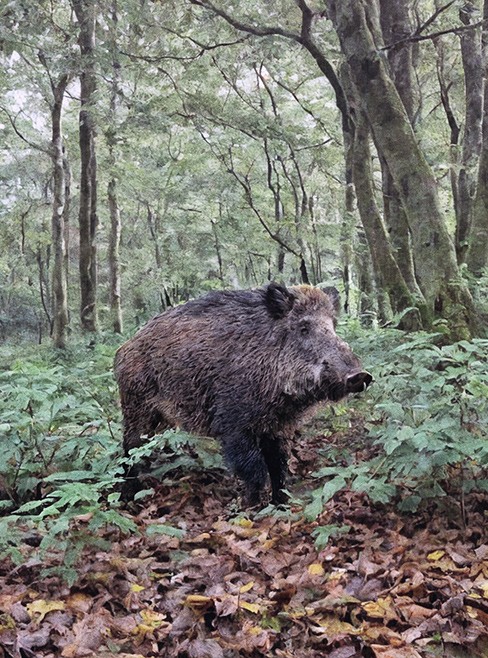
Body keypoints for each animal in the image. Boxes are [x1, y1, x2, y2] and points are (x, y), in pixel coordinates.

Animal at [115, 283, 372, 505]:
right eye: (303, 328)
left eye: (333, 325)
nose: (360, 375)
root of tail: (124, 349)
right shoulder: (232, 423)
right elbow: (254, 470)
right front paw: (251, 507)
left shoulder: (278, 427)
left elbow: (279, 467)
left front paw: (281, 504)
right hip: (136, 405)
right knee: (130, 448)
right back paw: (130, 494)